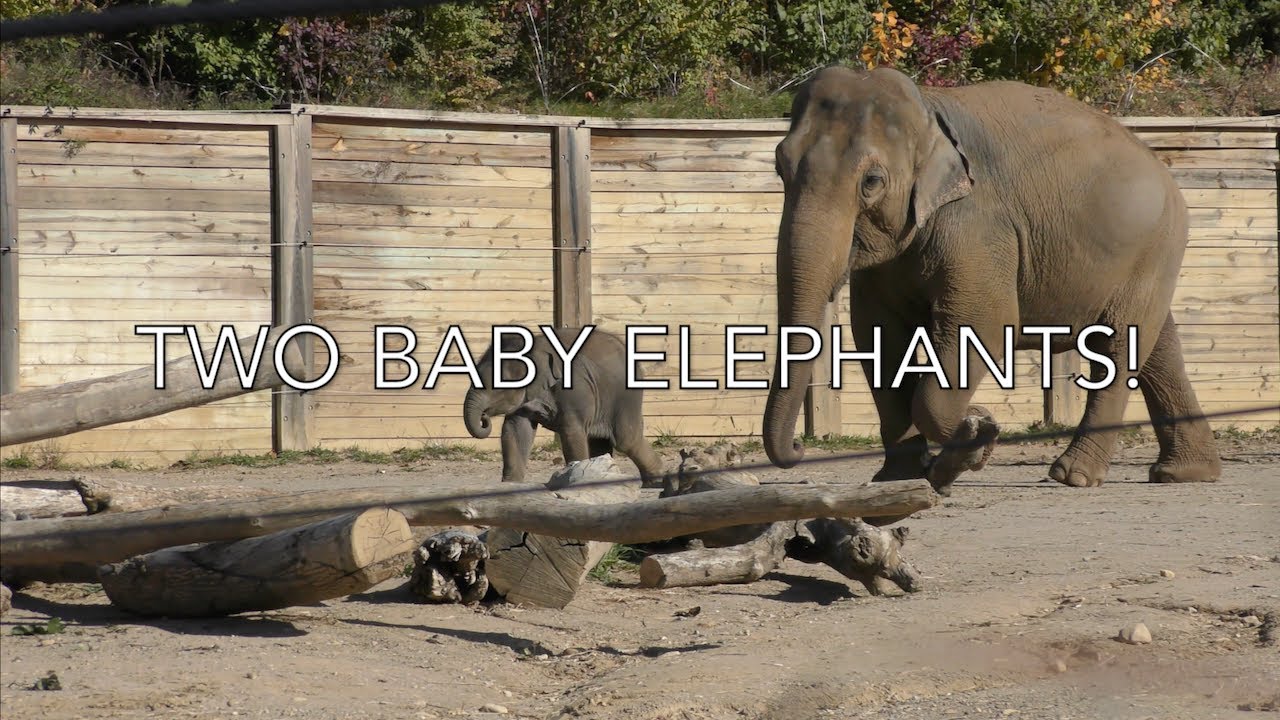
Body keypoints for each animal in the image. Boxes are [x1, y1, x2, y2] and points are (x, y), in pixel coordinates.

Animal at [462, 326, 667, 486]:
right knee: (601, 441)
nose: (483, 417)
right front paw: (511, 486)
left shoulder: (574, 390)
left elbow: (571, 433)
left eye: (498, 386)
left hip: (625, 395)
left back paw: (656, 480)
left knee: (626, 439)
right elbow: (515, 430)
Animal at [760, 65, 1222, 496]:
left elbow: (987, 323)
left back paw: (1072, 475)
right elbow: (879, 336)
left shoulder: (979, 226)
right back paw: (1185, 473)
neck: (929, 112)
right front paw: (902, 478)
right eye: (781, 167)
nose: (799, 448)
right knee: (1158, 343)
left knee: (1119, 345)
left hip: (1153, 249)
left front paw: (974, 433)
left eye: (871, 182)